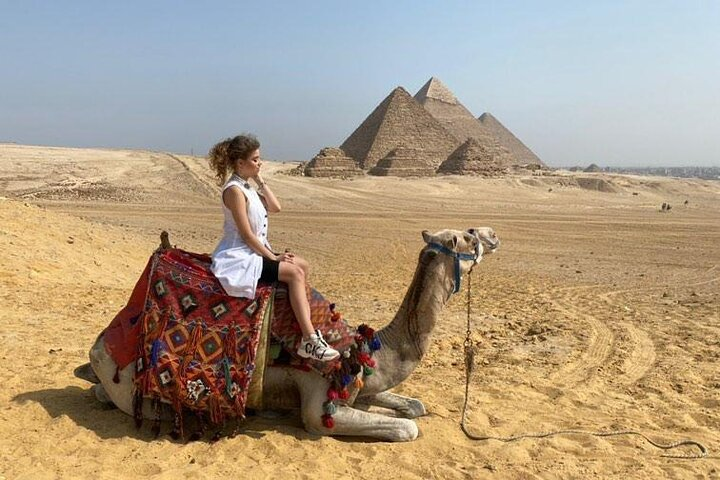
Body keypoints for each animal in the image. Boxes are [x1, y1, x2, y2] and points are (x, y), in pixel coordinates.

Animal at [78, 227, 499, 442]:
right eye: (465, 238)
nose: (491, 234)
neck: (367, 348)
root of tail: (100, 343)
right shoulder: (318, 403)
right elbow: (407, 427)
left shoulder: (361, 383)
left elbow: (414, 407)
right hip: (134, 385)